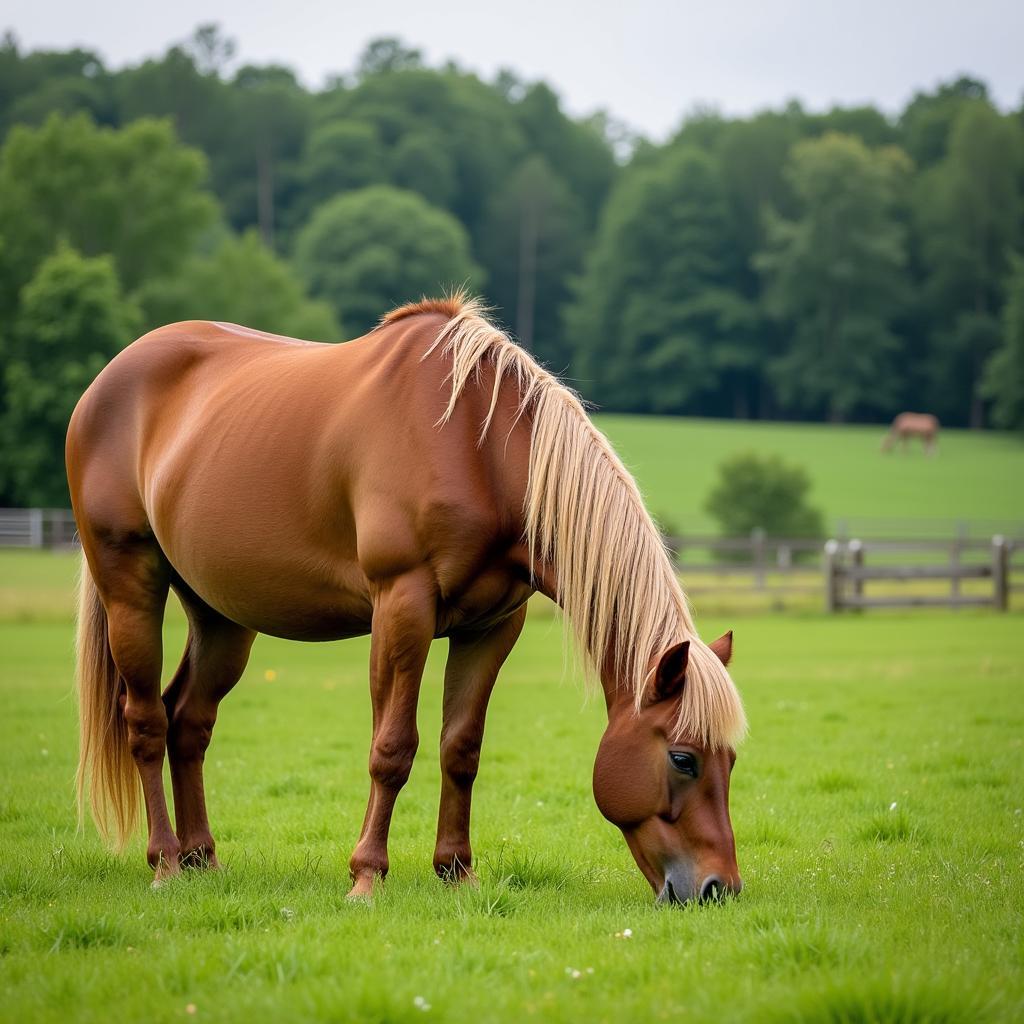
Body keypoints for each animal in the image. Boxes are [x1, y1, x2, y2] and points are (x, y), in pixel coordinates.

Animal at [68, 294, 749, 905]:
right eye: (684, 759)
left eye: (731, 760)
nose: (719, 889)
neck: (477, 448)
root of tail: (108, 380)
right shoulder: (402, 606)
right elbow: (392, 748)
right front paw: (366, 877)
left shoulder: (493, 626)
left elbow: (461, 748)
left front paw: (457, 872)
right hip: (131, 587)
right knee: (148, 722)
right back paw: (165, 863)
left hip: (222, 616)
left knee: (190, 722)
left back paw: (202, 859)